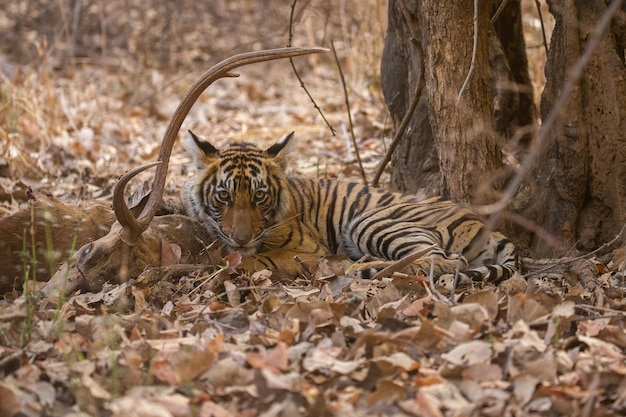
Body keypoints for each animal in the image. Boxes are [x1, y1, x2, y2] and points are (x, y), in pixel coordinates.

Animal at [180, 132, 516, 284]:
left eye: (260, 196)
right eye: (224, 196)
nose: (241, 239)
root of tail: (483, 223)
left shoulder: (308, 250)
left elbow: (252, 260)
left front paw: (223, 263)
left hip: (372, 222)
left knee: (443, 260)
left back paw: (356, 267)